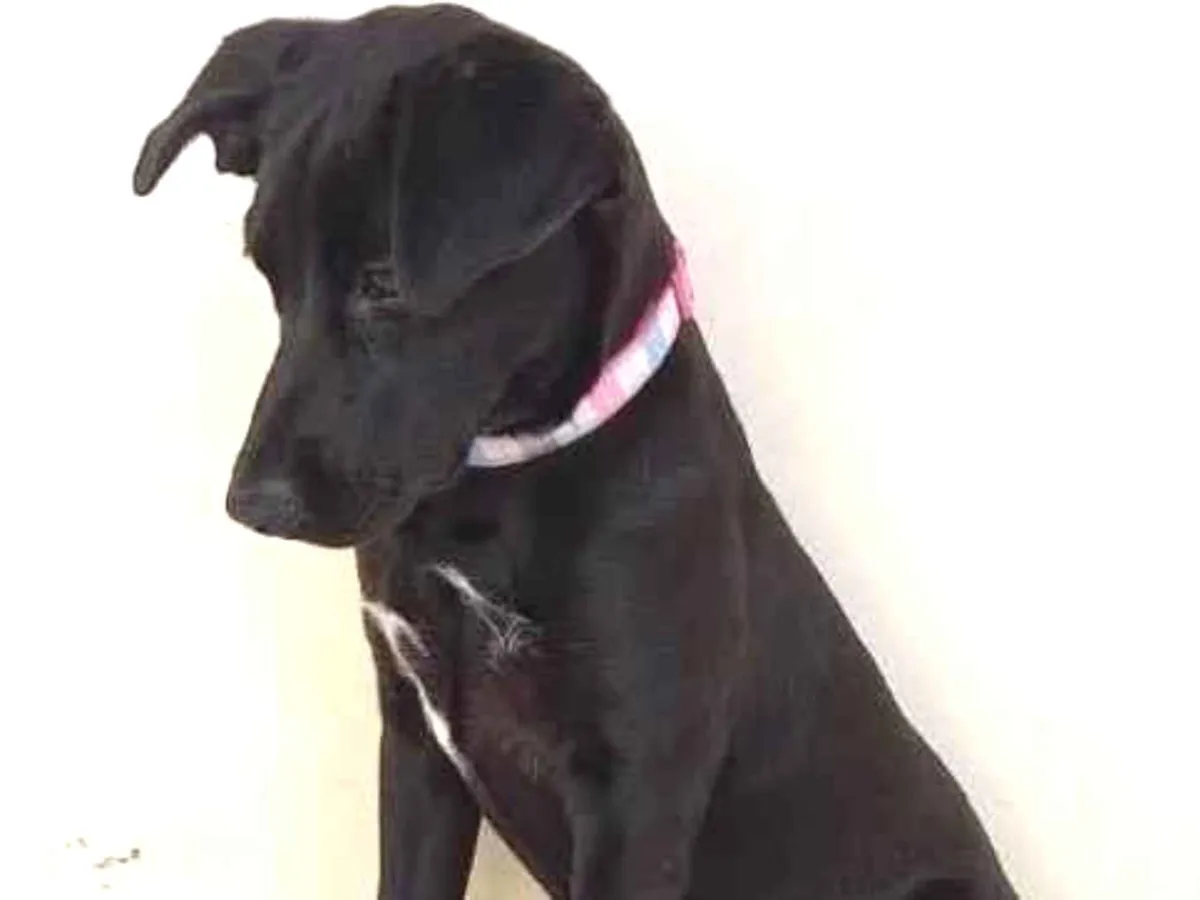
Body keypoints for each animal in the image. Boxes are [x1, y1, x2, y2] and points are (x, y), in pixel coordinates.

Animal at [133, 5, 1019, 899]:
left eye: (384, 282)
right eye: (270, 276)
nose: (251, 505)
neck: (493, 490)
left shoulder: (635, 788)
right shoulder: (416, 743)